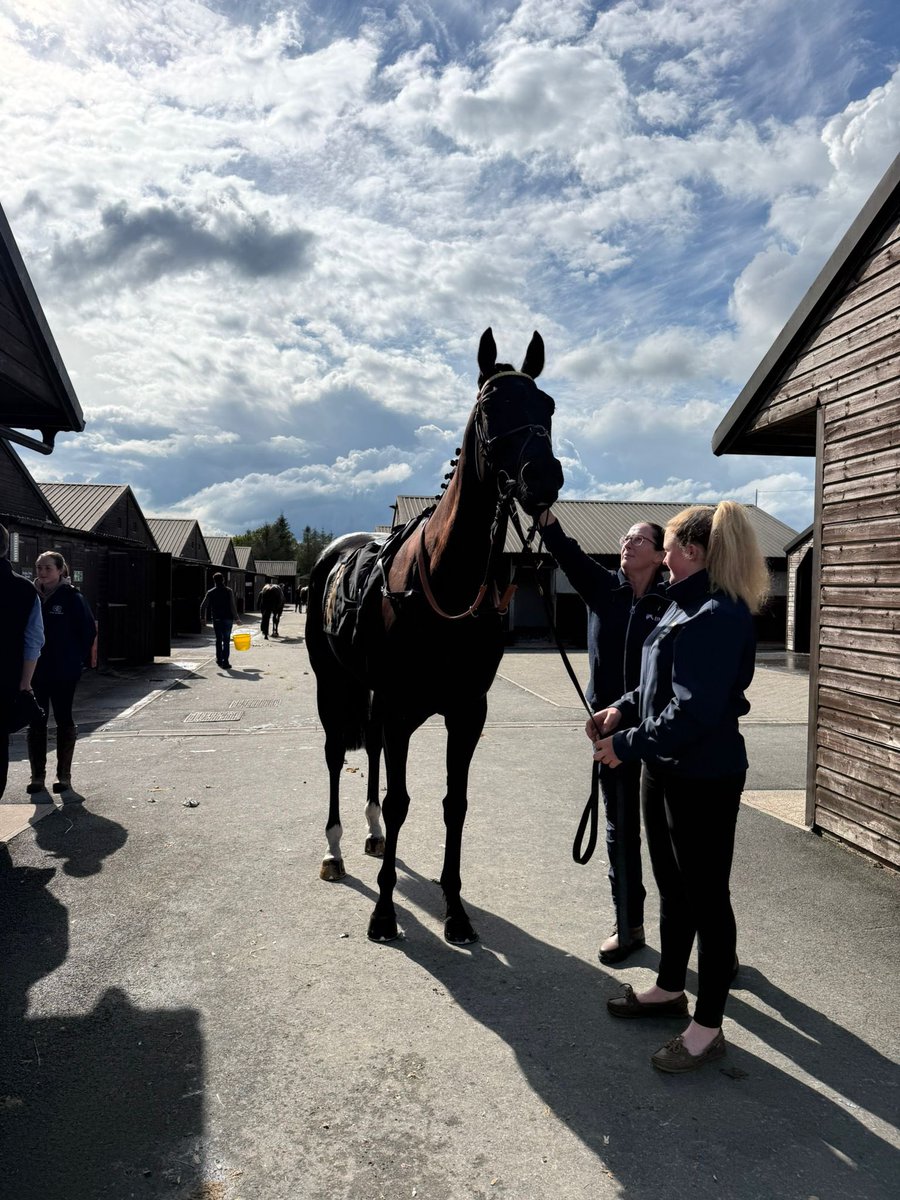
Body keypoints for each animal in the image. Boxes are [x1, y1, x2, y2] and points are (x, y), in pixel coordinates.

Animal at [305, 328, 563, 944]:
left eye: (547, 406)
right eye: (491, 406)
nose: (543, 478)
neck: (447, 578)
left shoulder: (466, 711)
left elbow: (455, 804)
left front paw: (455, 908)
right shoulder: (401, 706)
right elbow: (402, 801)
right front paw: (383, 912)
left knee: (371, 750)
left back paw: (372, 833)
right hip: (334, 685)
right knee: (335, 755)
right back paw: (334, 850)